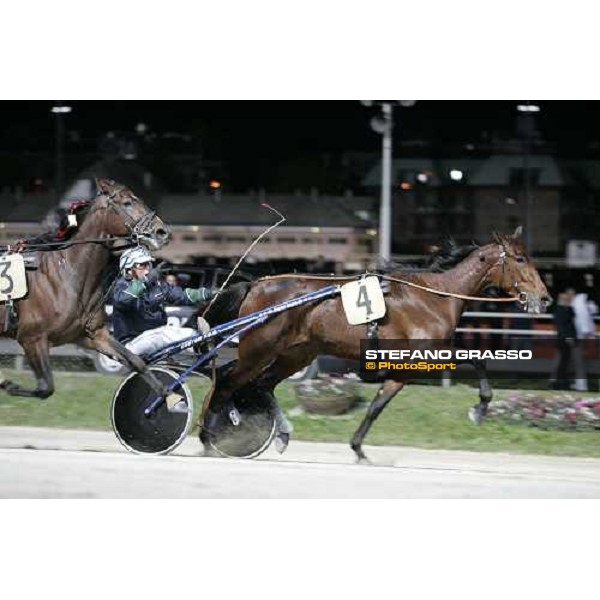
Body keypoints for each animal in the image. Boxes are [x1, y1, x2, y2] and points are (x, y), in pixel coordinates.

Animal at [0, 180, 171, 400]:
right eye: (127, 203)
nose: (161, 231)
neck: (69, 274)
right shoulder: (32, 339)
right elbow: (45, 388)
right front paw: (7, 384)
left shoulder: (92, 335)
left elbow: (137, 361)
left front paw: (167, 395)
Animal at [204, 227, 552, 462]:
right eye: (520, 258)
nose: (546, 297)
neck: (434, 296)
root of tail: (255, 284)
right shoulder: (425, 354)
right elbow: (477, 359)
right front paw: (479, 409)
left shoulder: (402, 368)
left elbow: (376, 407)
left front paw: (358, 448)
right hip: (259, 349)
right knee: (226, 382)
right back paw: (209, 438)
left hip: (296, 354)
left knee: (260, 385)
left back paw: (279, 433)